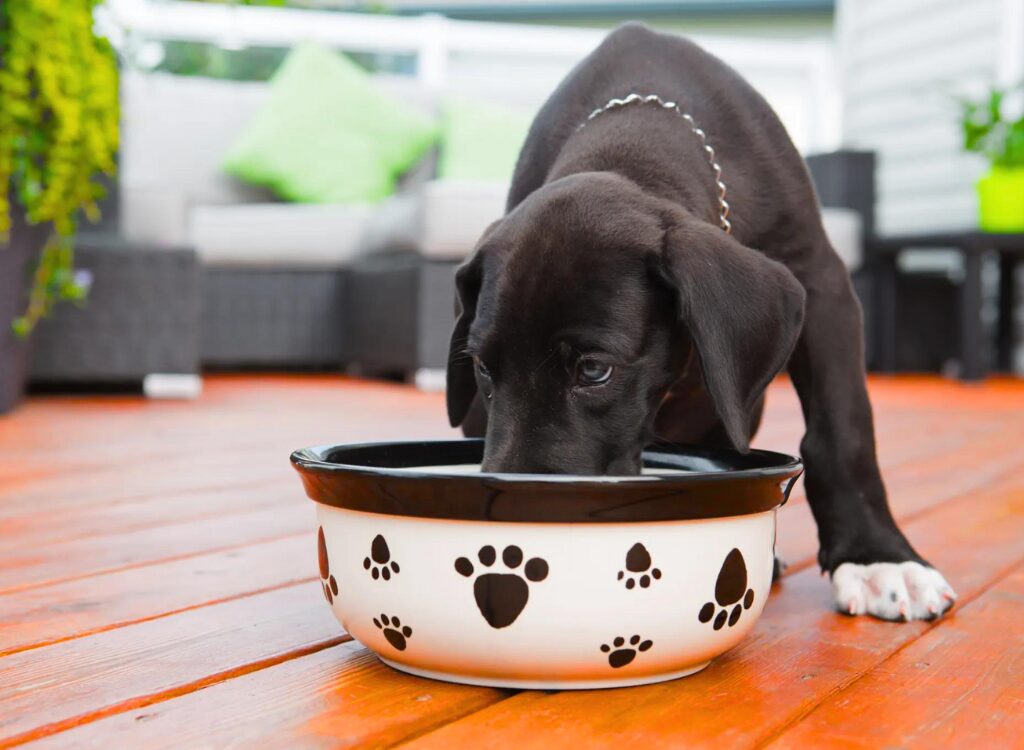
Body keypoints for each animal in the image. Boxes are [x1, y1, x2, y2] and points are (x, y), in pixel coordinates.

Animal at [444, 23, 954, 622]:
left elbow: (842, 428)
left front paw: (878, 558)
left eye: (593, 370)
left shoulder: (821, 283)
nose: (512, 526)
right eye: (482, 367)